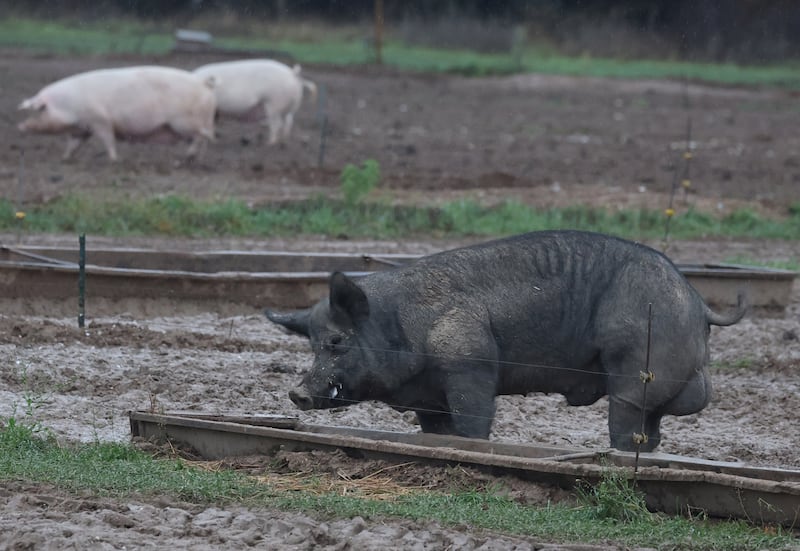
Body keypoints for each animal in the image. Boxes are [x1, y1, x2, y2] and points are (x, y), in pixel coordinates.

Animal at [17, 66, 216, 161]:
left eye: (37, 111)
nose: (20, 126)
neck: (69, 106)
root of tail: (203, 83)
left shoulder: (100, 120)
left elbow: (108, 140)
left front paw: (114, 160)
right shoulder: (82, 129)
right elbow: (73, 145)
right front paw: (64, 158)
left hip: (185, 122)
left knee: (204, 136)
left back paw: (188, 157)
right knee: (204, 138)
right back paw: (195, 159)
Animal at [265, 230, 747, 452]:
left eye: (336, 341)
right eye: (311, 345)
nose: (296, 393)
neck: (403, 326)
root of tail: (698, 304)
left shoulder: (470, 364)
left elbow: (474, 424)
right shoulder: (428, 399)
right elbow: (437, 432)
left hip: (635, 370)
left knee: (629, 419)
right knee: (658, 425)